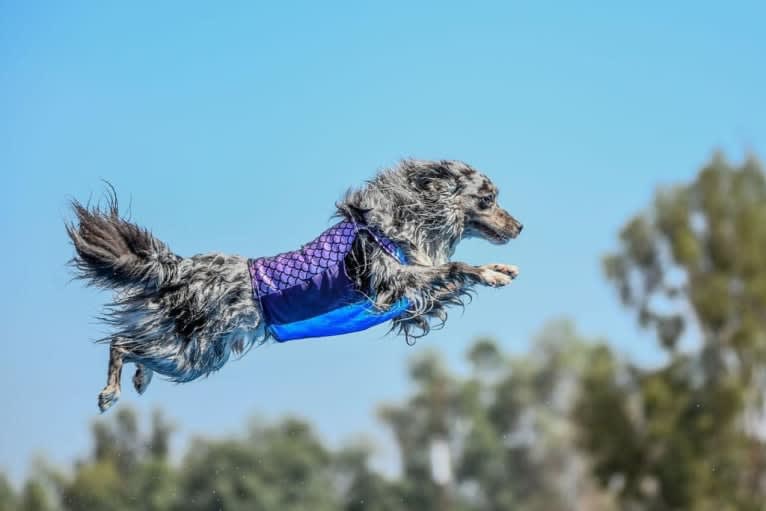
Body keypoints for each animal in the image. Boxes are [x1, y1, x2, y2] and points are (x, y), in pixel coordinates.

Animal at [67, 160, 520, 412]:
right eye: (487, 199)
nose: (519, 226)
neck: (399, 219)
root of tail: (178, 269)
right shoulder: (398, 284)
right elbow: (457, 266)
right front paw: (492, 274)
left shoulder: (412, 303)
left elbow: (449, 274)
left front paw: (500, 268)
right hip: (195, 354)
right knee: (121, 343)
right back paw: (110, 393)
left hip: (193, 352)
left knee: (136, 344)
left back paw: (139, 380)